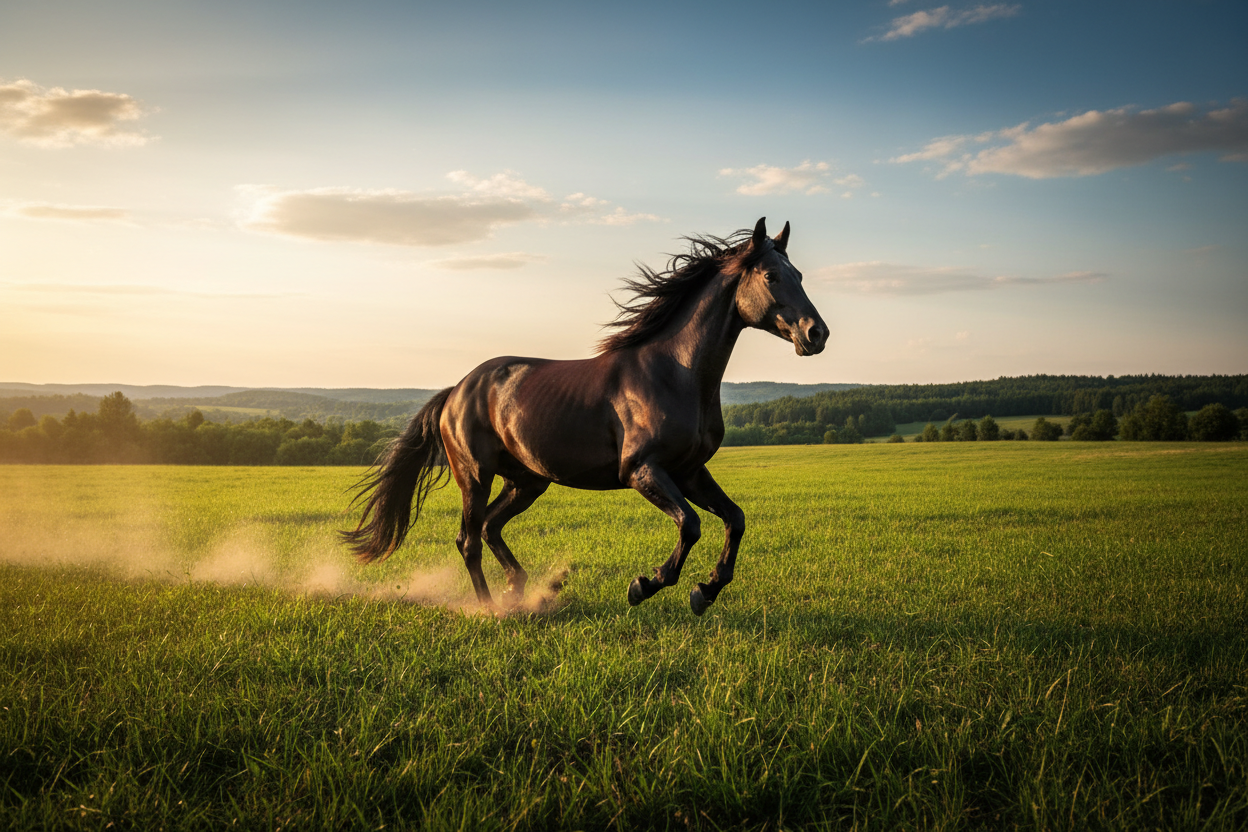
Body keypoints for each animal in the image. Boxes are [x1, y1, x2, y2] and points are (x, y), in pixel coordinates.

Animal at [342, 217, 828, 614]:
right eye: (771, 275)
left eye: (800, 275)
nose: (816, 333)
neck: (676, 373)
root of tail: (456, 391)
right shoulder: (641, 470)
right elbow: (690, 525)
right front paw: (645, 585)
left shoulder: (689, 471)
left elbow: (735, 519)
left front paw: (704, 591)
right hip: (475, 475)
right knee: (469, 539)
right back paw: (490, 607)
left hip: (527, 481)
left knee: (491, 528)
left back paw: (517, 589)